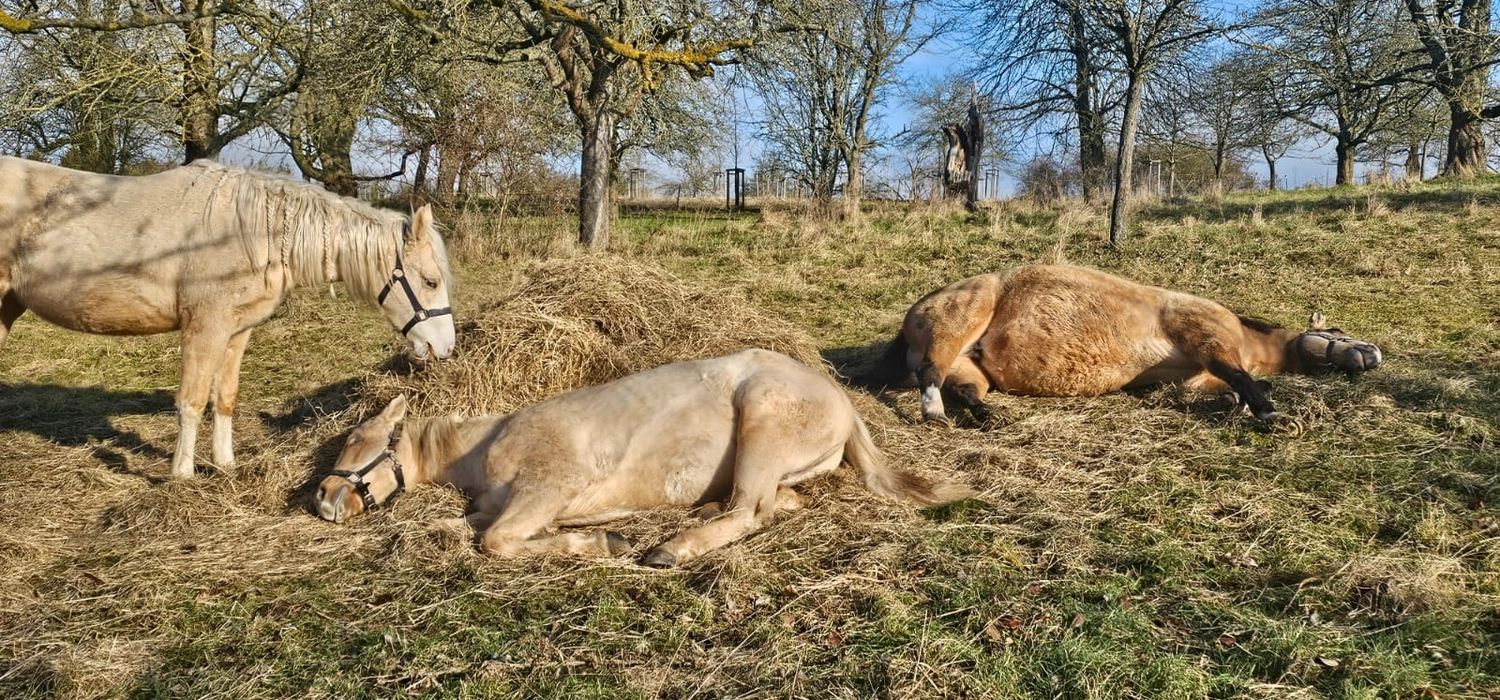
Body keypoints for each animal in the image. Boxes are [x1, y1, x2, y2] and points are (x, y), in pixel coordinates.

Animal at [0, 157, 456, 479]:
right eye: (431, 281)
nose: (445, 347)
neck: (252, 232)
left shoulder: (237, 332)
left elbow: (225, 398)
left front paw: (225, 465)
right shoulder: (205, 328)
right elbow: (192, 401)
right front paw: (182, 476)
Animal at [315, 349, 974, 568]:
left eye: (356, 440)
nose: (321, 497)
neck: (485, 446)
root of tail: (841, 399)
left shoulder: (550, 485)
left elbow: (496, 542)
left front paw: (602, 543)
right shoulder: (504, 504)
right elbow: (464, 528)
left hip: (762, 419)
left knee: (748, 510)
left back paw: (668, 548)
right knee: (775, 503)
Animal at [867, 264, 1383, 424]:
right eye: (1338, 334)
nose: (1374, 356)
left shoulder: (1194, 379)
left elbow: (1234, 384)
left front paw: (1241, 404)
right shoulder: (1206, 338)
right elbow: (1241, 376)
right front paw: (1270, 415)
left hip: (970, 367)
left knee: (962, 389)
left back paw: (988, 415)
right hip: (959, 323)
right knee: (930, 376)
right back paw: (934, 414)